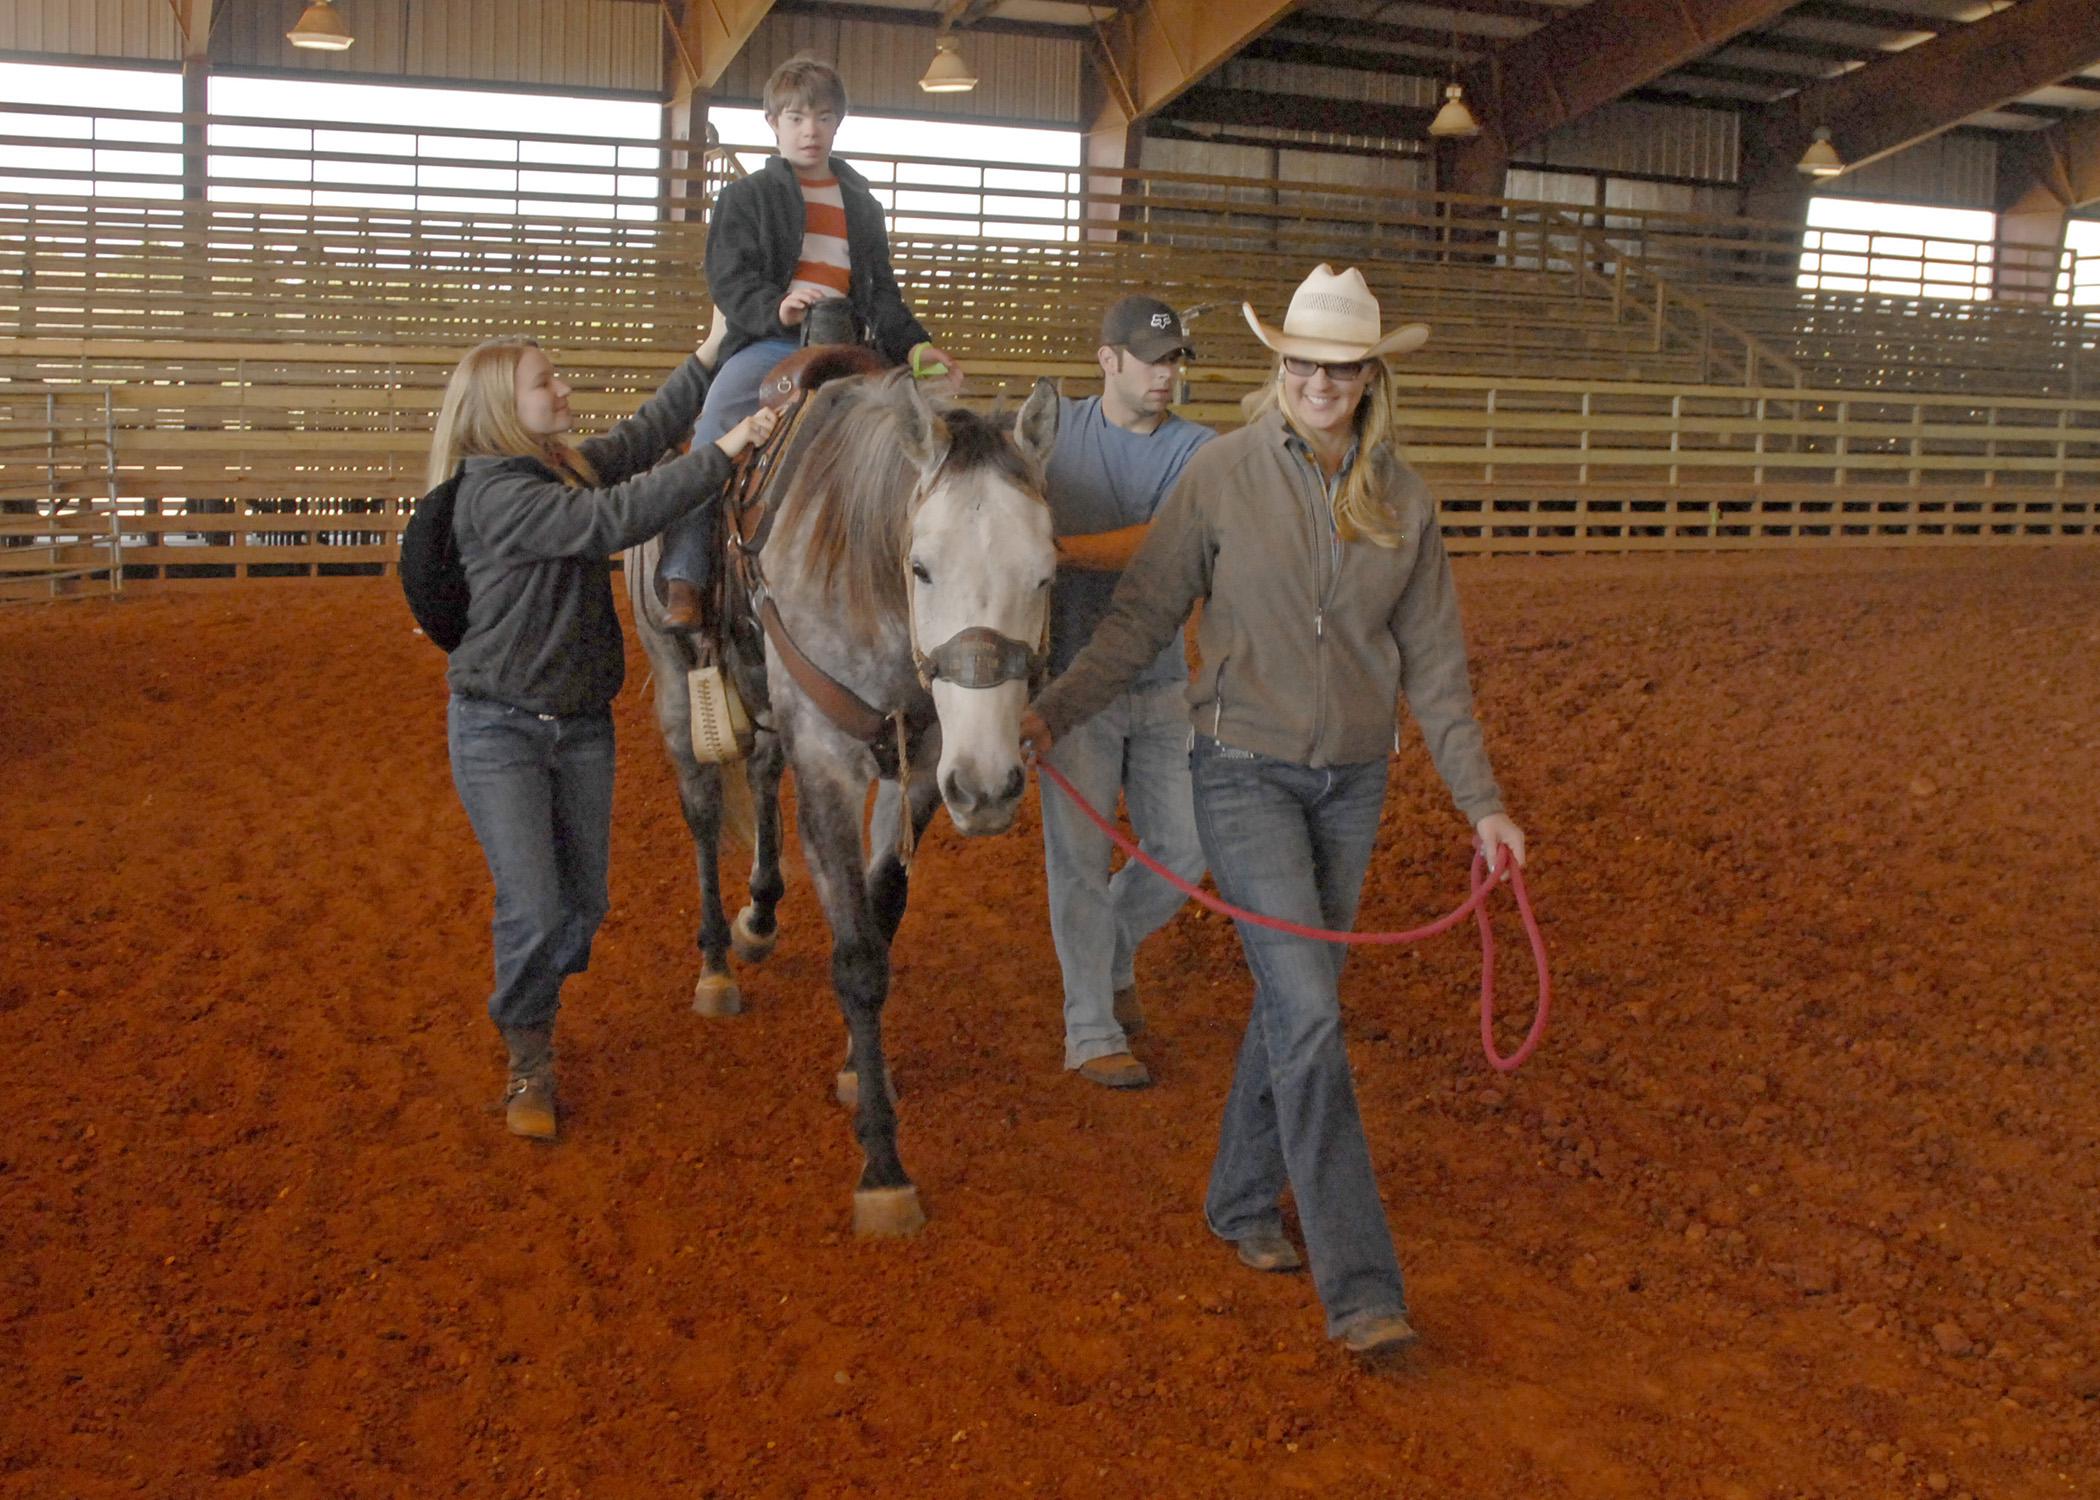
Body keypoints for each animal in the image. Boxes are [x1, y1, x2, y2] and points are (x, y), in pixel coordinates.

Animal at [617, 367, 1050, 1235]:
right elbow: (855, 957)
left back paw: (760, 913)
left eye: (1046, 573)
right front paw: (882, 1164)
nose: (989, 787)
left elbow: (882, 917)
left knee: (758, 775)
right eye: (921, 566)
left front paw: (858, 1065)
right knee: (704, 810)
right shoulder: (827, 764)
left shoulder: (920, 766)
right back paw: (716, 963)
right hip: (677, 682)